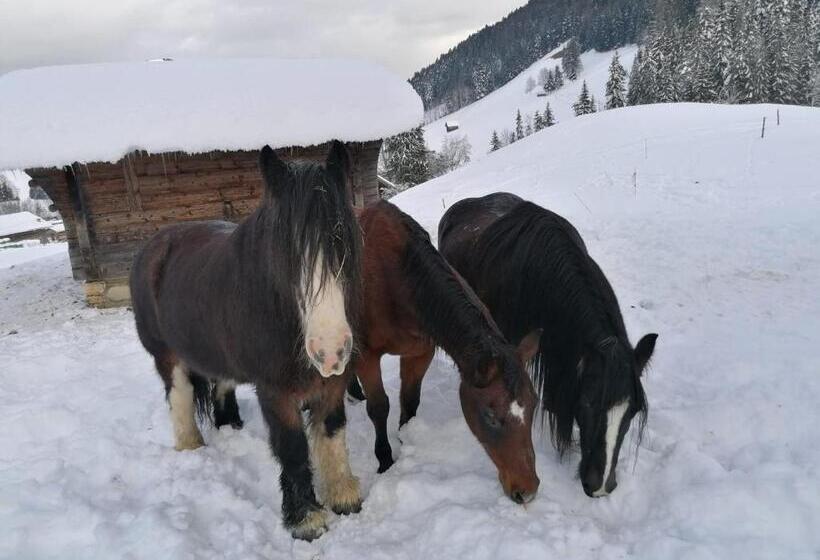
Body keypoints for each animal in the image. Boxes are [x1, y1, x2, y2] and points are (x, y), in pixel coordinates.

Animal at [130, 142, 362, 541]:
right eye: (286, 253)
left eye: (343, 242)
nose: (330, 351)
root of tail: (152, 248)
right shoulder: (276, 392)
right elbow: (293, 448)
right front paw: (305, 520)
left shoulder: (333, 382)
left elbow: (332, 432)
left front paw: (344, 496)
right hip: (166, 357)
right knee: (180, 396)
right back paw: (191, 447)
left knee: (221, 386)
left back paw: (231, 428)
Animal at [351, 200, 542, 504]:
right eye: (490, 416)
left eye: (534, 405)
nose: (527, 491)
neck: (398, 280)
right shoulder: (366, 357)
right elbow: (379, 407)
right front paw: (385, 460)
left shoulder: (420, 352)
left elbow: (410, 401)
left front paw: (407, 439)